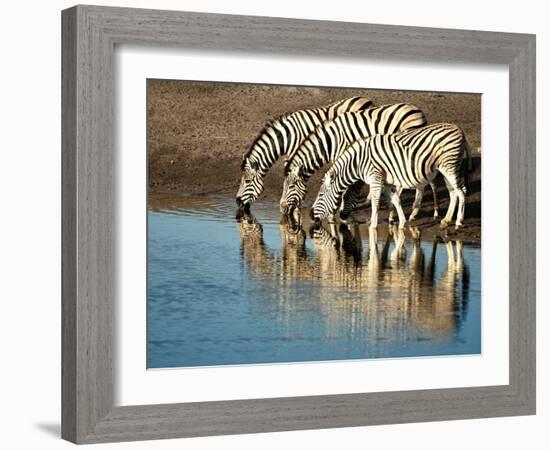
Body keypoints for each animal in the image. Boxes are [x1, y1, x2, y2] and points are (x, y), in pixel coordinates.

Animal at [235, 96, 374, 217]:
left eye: (247, 182)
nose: (237, 202)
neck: (287, 136)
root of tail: (364, 99)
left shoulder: (295, 153)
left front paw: (295, 206)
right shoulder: (290, 156)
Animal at [280, 102, 440, 221]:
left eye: (291, 186)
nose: (282, 208)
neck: (330, 141)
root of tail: (418, 110)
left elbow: (343, 185)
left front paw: (338, 208)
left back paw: (420, 212)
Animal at [312, 122, 472, 230]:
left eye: (320, 196)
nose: (310, 216)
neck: (357, 162)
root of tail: (460, 131)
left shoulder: (375, 178)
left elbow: (376, 202)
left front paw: (373, 224)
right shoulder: (387, 181)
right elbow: (396, 199)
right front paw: (402, 223)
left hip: (449, 166)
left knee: (461, 191)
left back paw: (458, 222)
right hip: (447, 168)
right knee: (453, 193)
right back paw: (446, 220)